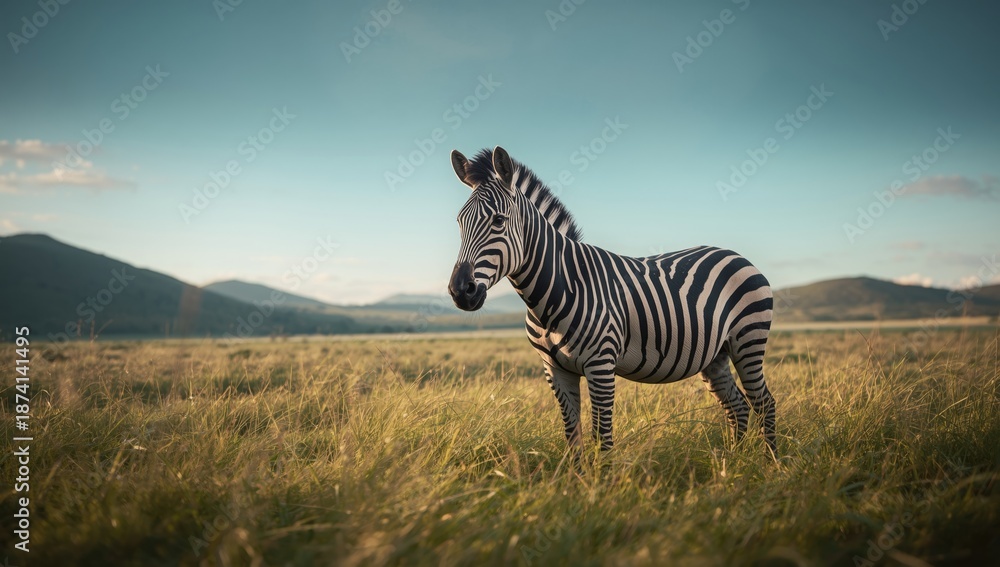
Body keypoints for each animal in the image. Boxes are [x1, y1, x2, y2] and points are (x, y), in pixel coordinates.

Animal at [447, 146, 777, 457]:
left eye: (498, 221)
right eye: (459, 223)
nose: (460, 291)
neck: (558, 289)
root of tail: (735, 254)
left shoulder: (601, 365)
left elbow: (602, 438)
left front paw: (602, 480)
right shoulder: (555, 370)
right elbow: (573, 438)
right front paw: (578, 478)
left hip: (748, 340)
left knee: (764, 403)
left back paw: (769, 464)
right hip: (716, 355)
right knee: (738, 407)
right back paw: (731, 464)